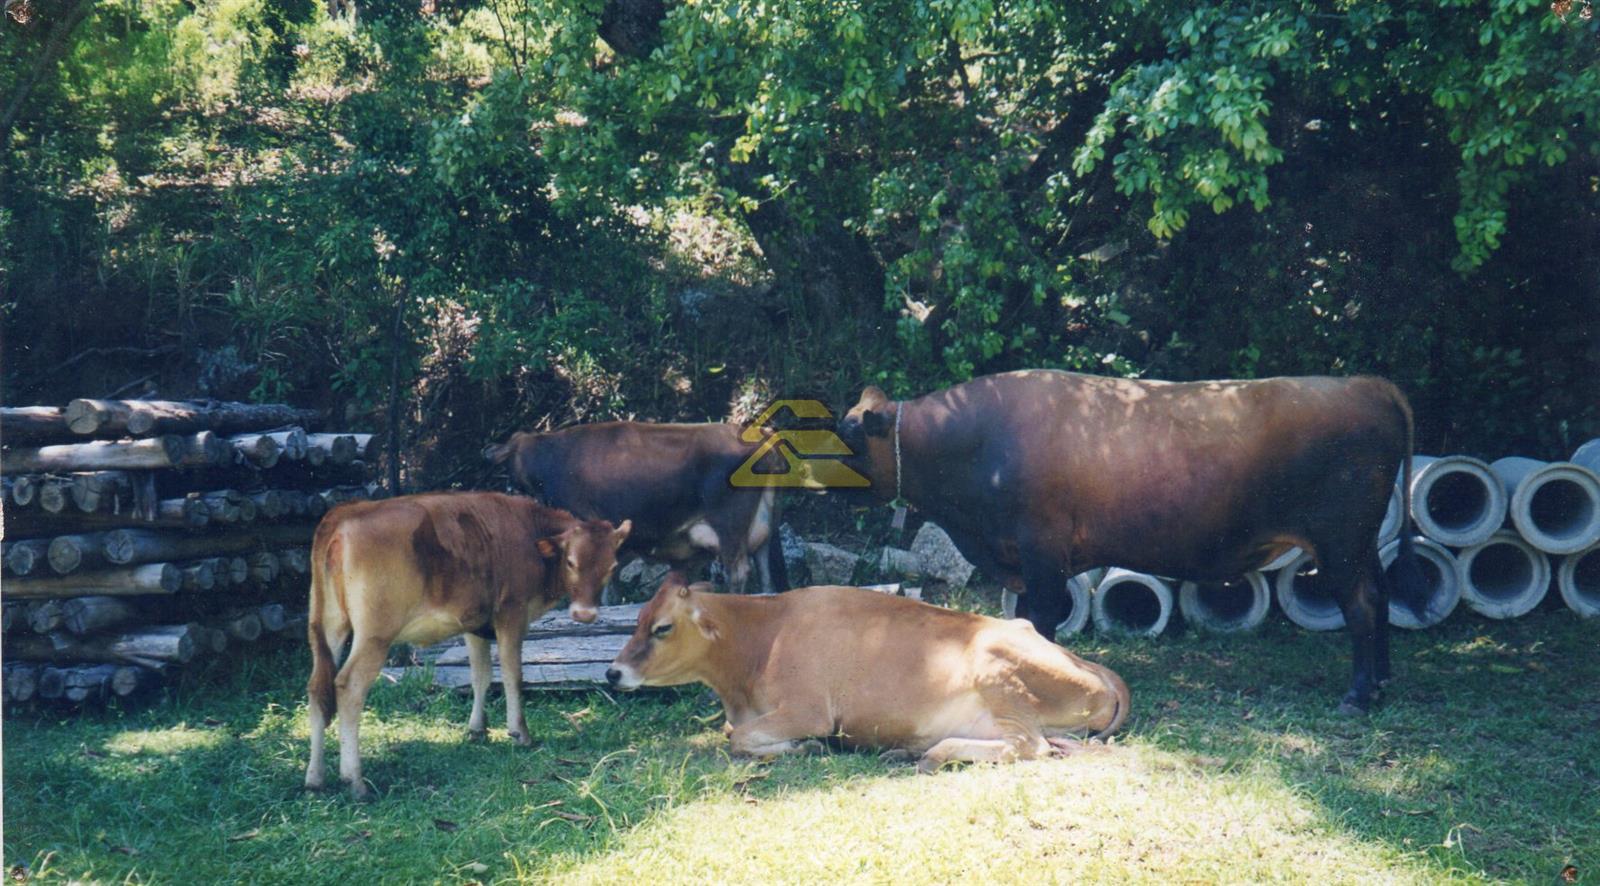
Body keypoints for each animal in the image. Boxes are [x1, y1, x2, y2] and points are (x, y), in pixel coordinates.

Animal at [302, 489, 627, 793]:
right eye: (571, 562)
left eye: (611, 567)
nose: (585, 614)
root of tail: (345, 512)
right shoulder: (511, 612)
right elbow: (512, 674)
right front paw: (519, 733)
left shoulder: (473, 624)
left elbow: (480, 676)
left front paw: (477, 730)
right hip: (375, 634)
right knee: (348, 687)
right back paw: (355, 781)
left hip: (326, 626)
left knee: (317, 688)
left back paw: (315, 778)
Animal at [604, 575, 1132, 767]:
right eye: (637, 619)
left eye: (663, 627)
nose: (612, 673)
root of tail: (1099, 671)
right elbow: (734, 732)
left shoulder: (809, 710)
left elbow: (741, 738)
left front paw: (809, 746)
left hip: (998, 677)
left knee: (1029, 745)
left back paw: (932, 753)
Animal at [838, 367, 1427, 710]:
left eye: (848, 438)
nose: (828, 489)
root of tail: (1365, 383)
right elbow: (1027, 616)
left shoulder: (1041, 551)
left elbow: (1042, 616)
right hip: (1362, 543)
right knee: (1381, 596)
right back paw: (1383, 680)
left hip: (1340, 542)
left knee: (1362, 603)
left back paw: (1359, 695)